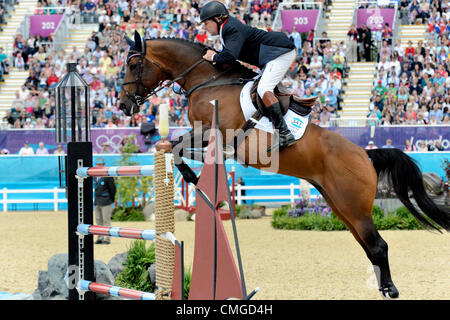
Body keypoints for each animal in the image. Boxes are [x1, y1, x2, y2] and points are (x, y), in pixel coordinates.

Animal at [118, 31, 450, 298]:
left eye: (134, 65)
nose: (123, 105)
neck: (208, 82)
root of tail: (365, 154)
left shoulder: (215, 131)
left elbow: (177, 147)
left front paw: (192, 175)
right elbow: (180, 147)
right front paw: (194, 173)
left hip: (353, 206)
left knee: (378, 246)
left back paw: (390, 290)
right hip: (342, 208)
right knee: (369, 247)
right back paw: (382, 287)